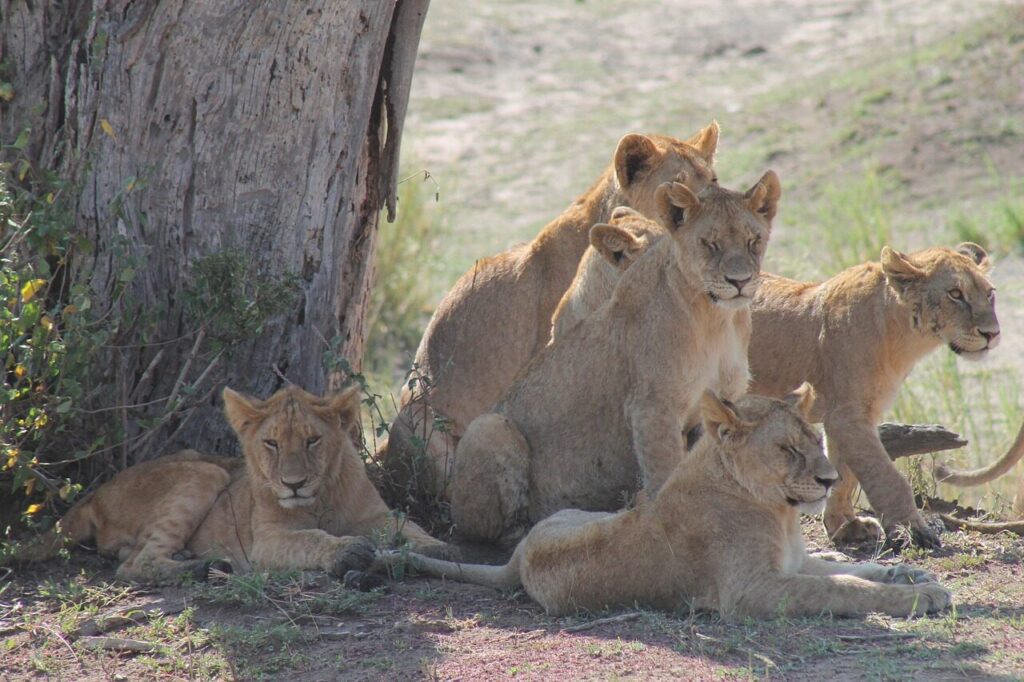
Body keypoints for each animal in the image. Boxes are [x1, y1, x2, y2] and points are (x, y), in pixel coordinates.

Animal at [16, 386, 453, 583]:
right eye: (271, 443)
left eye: (313, 440)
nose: (294, 484)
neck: (321, 498)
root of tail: (94, 495)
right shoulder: (267, 541)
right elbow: (311, 538)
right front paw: (347, 552)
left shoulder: (375, 515)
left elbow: (406, 524)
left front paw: (437, 548)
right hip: (204, 473)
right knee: (133, 565)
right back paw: (206, 567)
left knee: (132, 554)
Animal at [385, 388, 951, 619]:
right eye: (789, 450)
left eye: (817, 440)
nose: (831, 480)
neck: (779, 513)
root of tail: (520, 557)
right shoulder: (751, 593)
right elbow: (843, 590)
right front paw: (919, 597)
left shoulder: (787, 564)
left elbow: (851, 573)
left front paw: (910, 575)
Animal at [748, 243, 999, 548]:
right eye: (955, 294)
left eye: (989, 293)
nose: (992, 334)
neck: (902, 336)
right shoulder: (848, 415)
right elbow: (886, 476)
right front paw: (914, 530)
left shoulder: (855, 413)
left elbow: (843, 474)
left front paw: (845, 526)